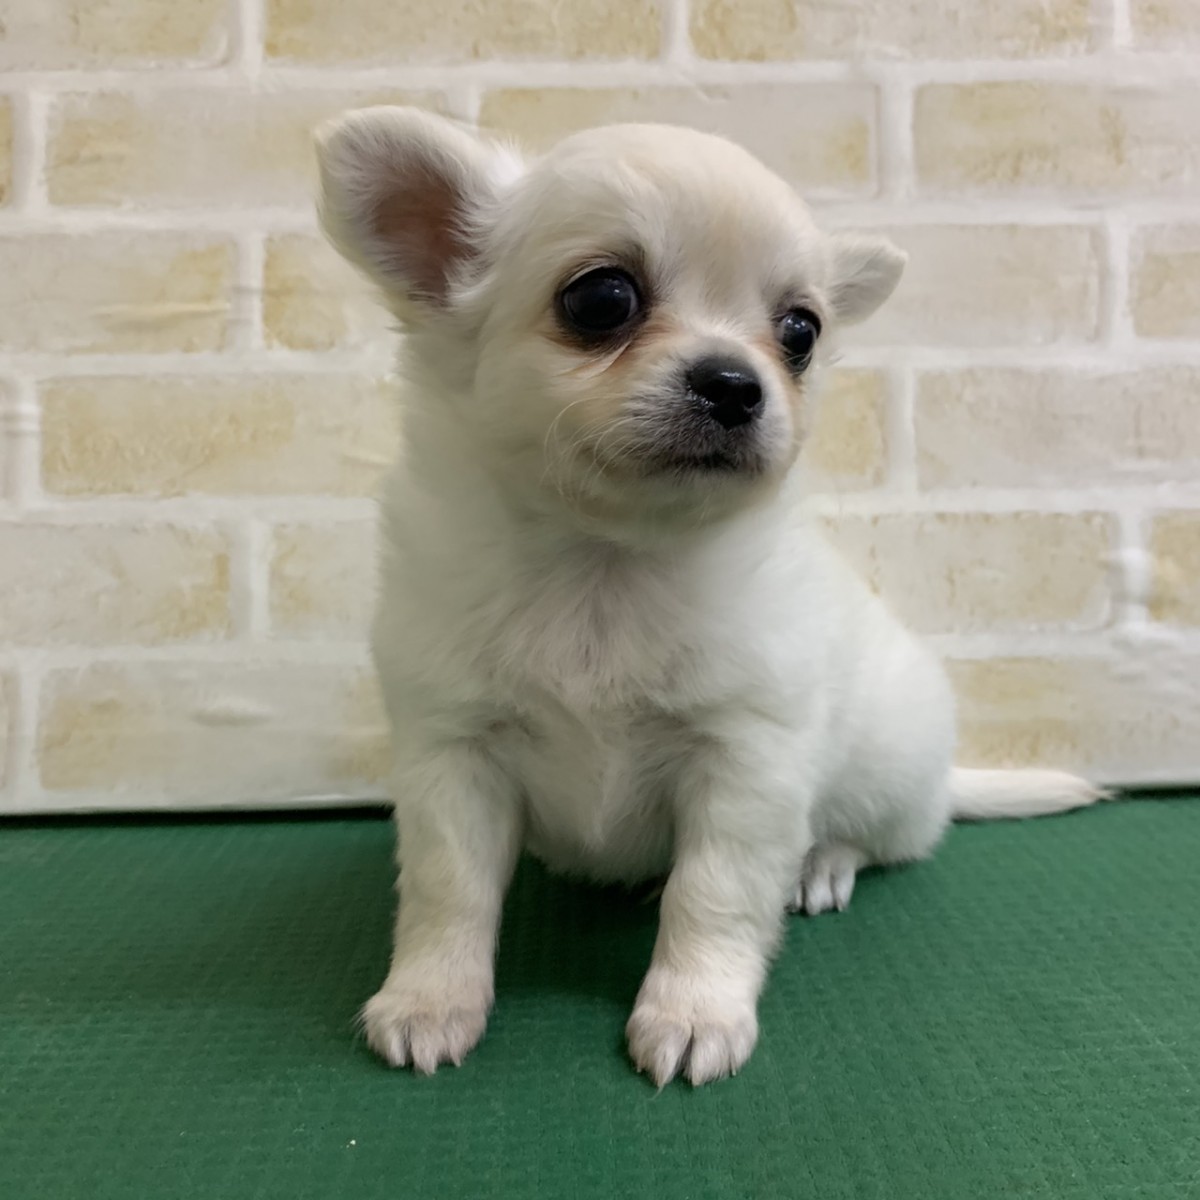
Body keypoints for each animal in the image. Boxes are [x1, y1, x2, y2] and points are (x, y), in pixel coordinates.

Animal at [314, 107, 1101, 1087]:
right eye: (602, 300)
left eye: (800, 332)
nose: (735, 382)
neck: (606, 564)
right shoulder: (452, 754)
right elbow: (447, 890)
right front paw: (430, 999)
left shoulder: (746, 762)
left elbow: (710, 895)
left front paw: (694, 1012)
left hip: (882, 770)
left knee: (883, 837)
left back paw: (820, 866)